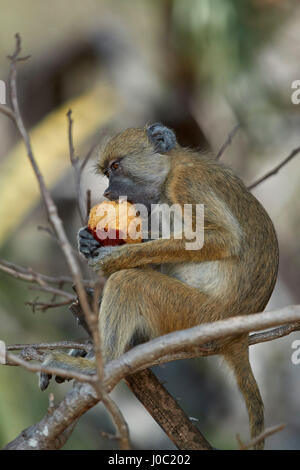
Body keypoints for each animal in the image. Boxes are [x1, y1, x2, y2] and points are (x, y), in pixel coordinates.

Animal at [39, 123, 278, 450]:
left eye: (116, 167)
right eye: (107, 172)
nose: (108, 192)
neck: (170, 169)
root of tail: (237, 336)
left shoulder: (186, 184)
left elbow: (223, 240)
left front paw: (116, 258)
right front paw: (87, 241)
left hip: (196, 316)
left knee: (130, 282)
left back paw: (101, 366)